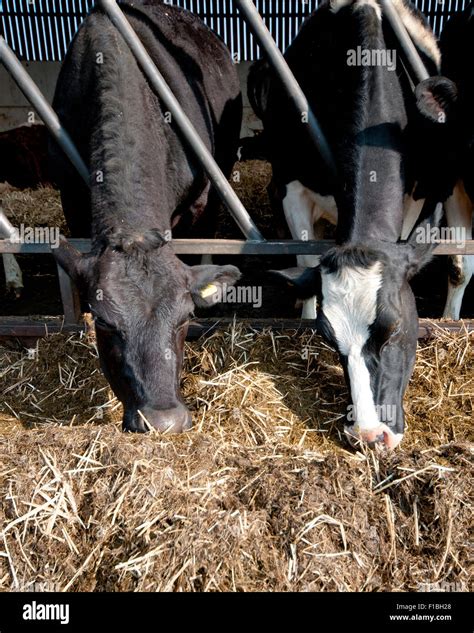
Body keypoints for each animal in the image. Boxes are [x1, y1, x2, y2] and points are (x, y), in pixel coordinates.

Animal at [250, 0, 458, 450]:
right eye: (329, 338)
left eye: (393, 328)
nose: (369, 435)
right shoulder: (290, 185)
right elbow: (301, 256)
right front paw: (304, 308)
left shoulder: (416, 197)